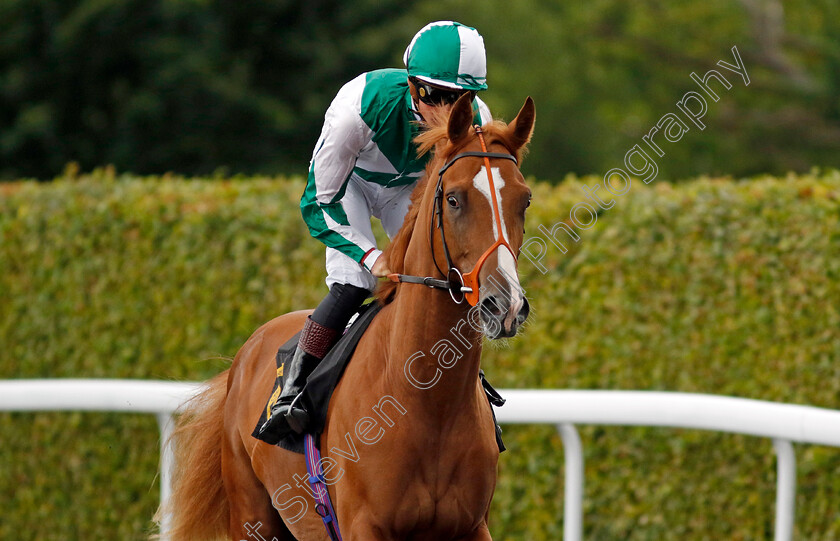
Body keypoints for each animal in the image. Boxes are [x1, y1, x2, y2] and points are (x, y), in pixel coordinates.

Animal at [161, 95, 536, 536]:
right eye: (454, 199)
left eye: (524, 200)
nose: (505, 304)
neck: (429, 403)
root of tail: (247, 353)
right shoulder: (364, 525)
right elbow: (323, 207)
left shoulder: (473, 526)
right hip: (251, 514)